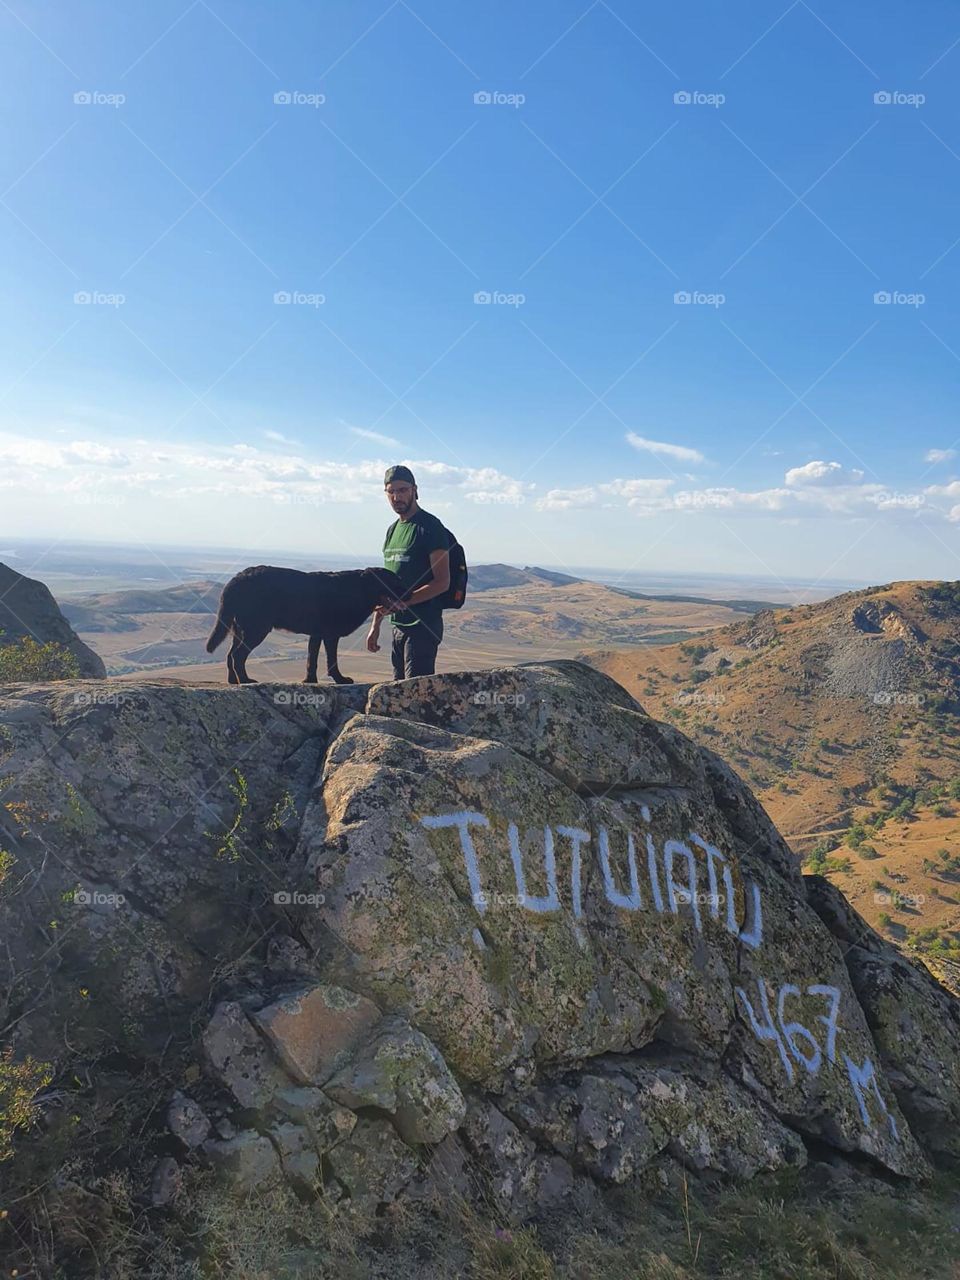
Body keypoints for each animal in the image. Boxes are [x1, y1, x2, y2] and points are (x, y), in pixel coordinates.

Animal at [204, 565, 407, 686]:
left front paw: (310, 680)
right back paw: (246, 680)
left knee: (230, 654)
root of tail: (236, 578)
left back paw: (233, 681)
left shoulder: (316, 634)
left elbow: (312, 659)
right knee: (238, 655)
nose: (410, 592)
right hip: (256, 628)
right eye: (395, 582)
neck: (360, 588)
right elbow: (331, 660)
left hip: (240, 629)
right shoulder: (330, 634)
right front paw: (340, 679)